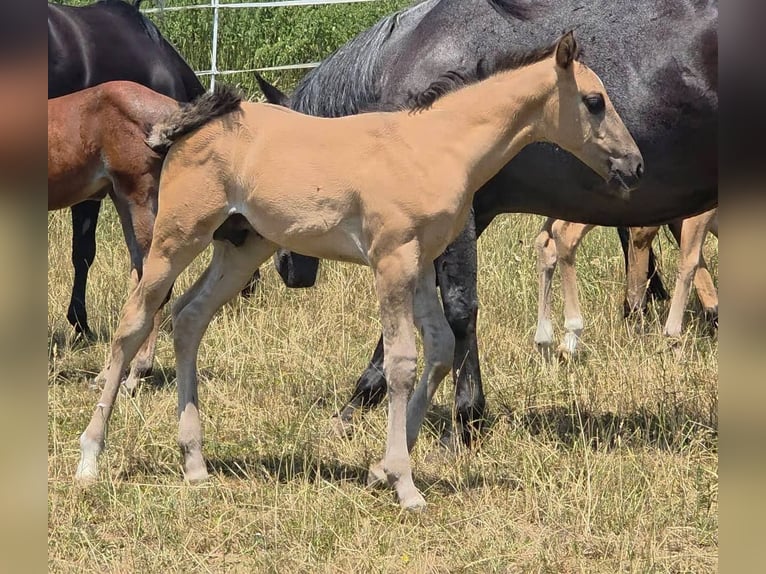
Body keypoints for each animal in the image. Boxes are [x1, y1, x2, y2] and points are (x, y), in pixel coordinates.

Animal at [74, 33, 643, 511]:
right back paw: (90, 458)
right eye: (595, 101)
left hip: (242, 248)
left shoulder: (422, 262)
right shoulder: (392, 259)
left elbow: (439, 349)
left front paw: (380, 470)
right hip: (177, 237)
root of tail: (195, 121)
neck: (435, 146)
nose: (635, 165)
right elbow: (402, 361)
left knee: (190, 318)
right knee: (134, 323)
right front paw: (405, 485)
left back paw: (195, 463)